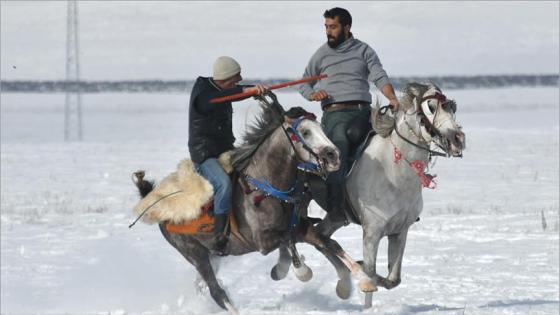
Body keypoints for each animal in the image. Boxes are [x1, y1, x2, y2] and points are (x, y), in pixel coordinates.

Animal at [132, 94, 376, 315]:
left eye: (321, 128)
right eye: (305, 132)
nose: (334, 156)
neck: (267, 187)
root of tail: (152, 200)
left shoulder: (301, 227)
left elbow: (329, 243)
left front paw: (363, 280)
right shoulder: (263, 241)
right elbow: (289, 240)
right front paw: (299, 270)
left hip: (210, 254)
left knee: (203, 286)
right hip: (194, 253)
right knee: (216, 291)